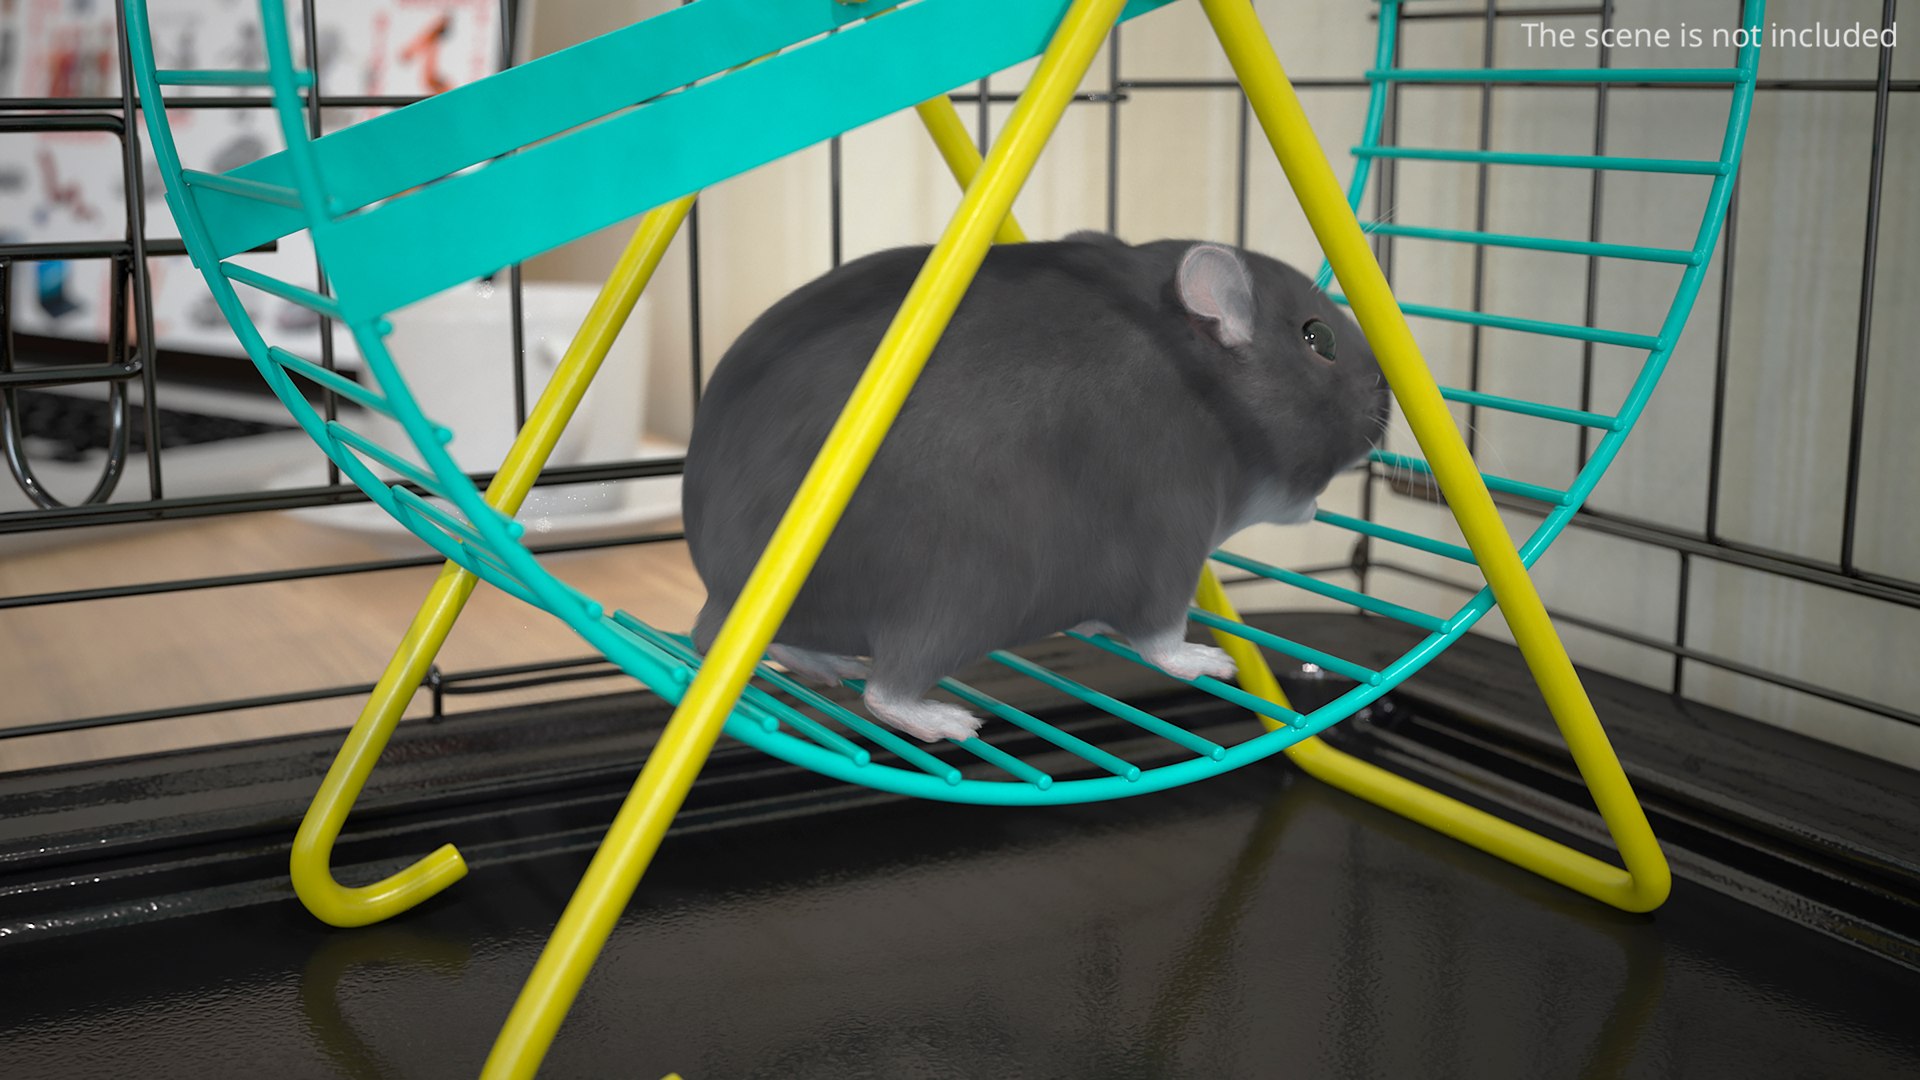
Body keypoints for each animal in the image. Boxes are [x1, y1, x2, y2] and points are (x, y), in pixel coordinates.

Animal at [682, 232, 1390, 743]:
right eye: (1319, 338)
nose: (1387, 392)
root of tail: (723, 591)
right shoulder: (1173, 539)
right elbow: (1161, 638)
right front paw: (1206, 660)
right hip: (966, 591)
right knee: (887, 690)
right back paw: (944, 720)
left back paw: (822, 663)